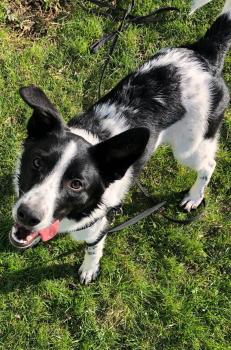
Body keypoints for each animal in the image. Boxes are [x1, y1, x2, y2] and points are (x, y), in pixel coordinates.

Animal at [9, 1, 231, 284]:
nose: (27, 215)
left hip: (189, 146)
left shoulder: (97, 229)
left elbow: (93, 249)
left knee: (208, 165)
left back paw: (194, 197)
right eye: (37, 162)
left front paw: (89, 269)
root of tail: (204, 56)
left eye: (76, 184)